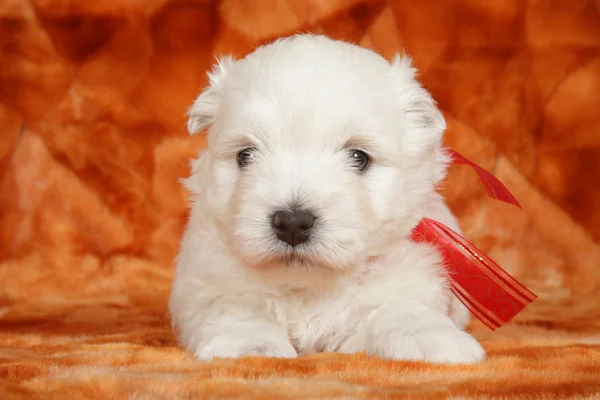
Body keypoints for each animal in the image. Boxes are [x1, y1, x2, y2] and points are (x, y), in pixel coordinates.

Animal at [166, 34, 486, 364]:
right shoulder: (210, 283)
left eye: (359, 157)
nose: (292, 223)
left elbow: (399, 308)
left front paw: (432, 339)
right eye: (245, 155)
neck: (309, 286)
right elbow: (238, 309)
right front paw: (251, 346)